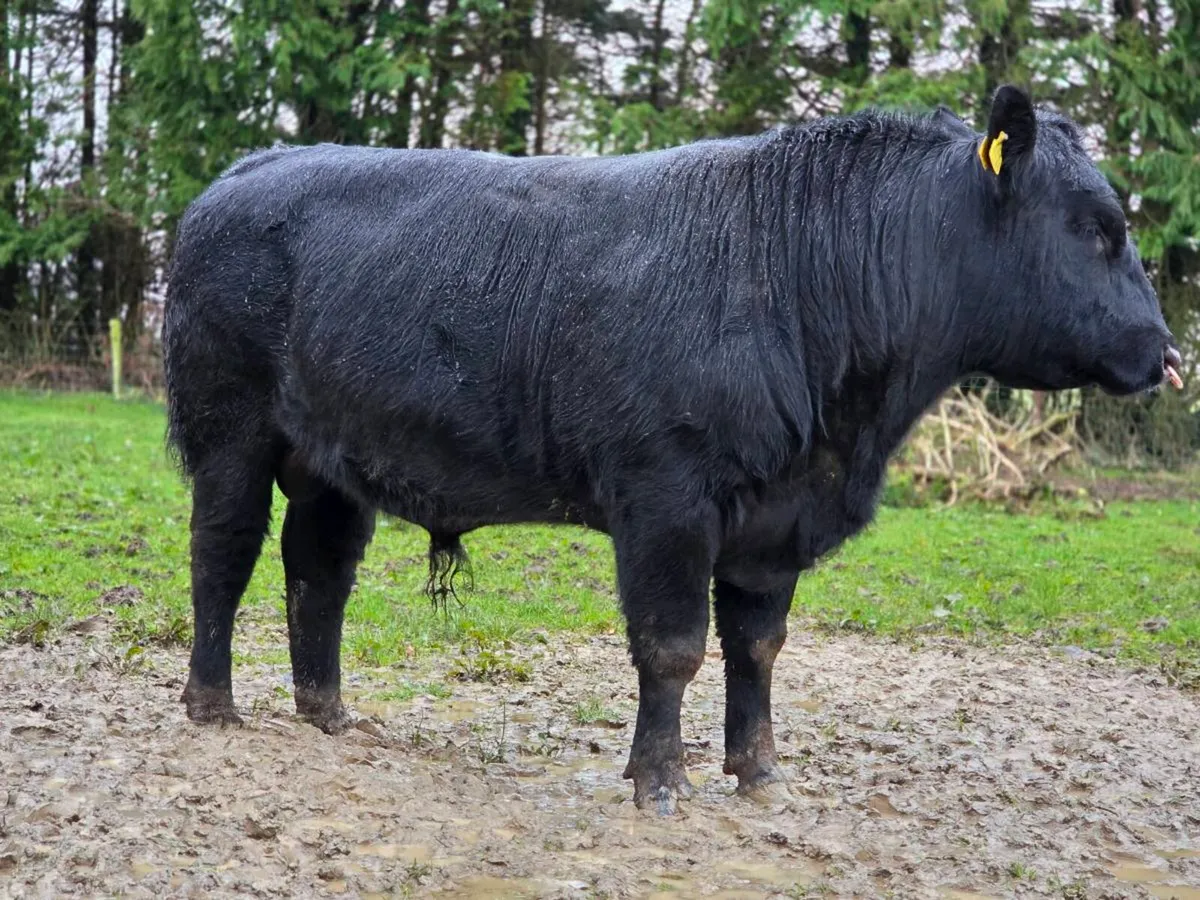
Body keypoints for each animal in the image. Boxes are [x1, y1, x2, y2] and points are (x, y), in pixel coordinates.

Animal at [162, 85, 1181, 814]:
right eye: (1100, 228)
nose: (1168, 352)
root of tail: (251, 169)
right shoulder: (666, 499)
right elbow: (673, 645)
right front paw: (660, 779)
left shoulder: (775, 519)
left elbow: (758, 647)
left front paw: (759, 772)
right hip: (229, 432)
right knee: (222, 557)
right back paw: (212, 705)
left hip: (333, 462)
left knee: (317, 572)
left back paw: (327, 712)